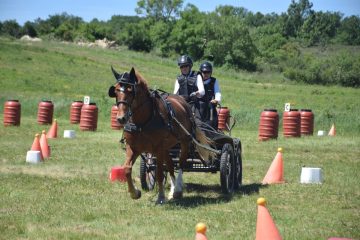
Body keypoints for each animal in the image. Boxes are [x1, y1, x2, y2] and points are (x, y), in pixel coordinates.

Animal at [107, 66, 214, 203]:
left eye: (130, 90)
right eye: (115, 91)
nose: (121, 118)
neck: (143, 121)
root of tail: (184, 102)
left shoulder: (157, 148)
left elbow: (158, 173)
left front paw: (161, 197)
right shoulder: (134, 147)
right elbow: (127, 169)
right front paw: (135, 193)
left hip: (184, 142)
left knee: (181, 163)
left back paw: (177, 189)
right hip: (166, 147)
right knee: (171, 165)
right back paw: (173, 191)